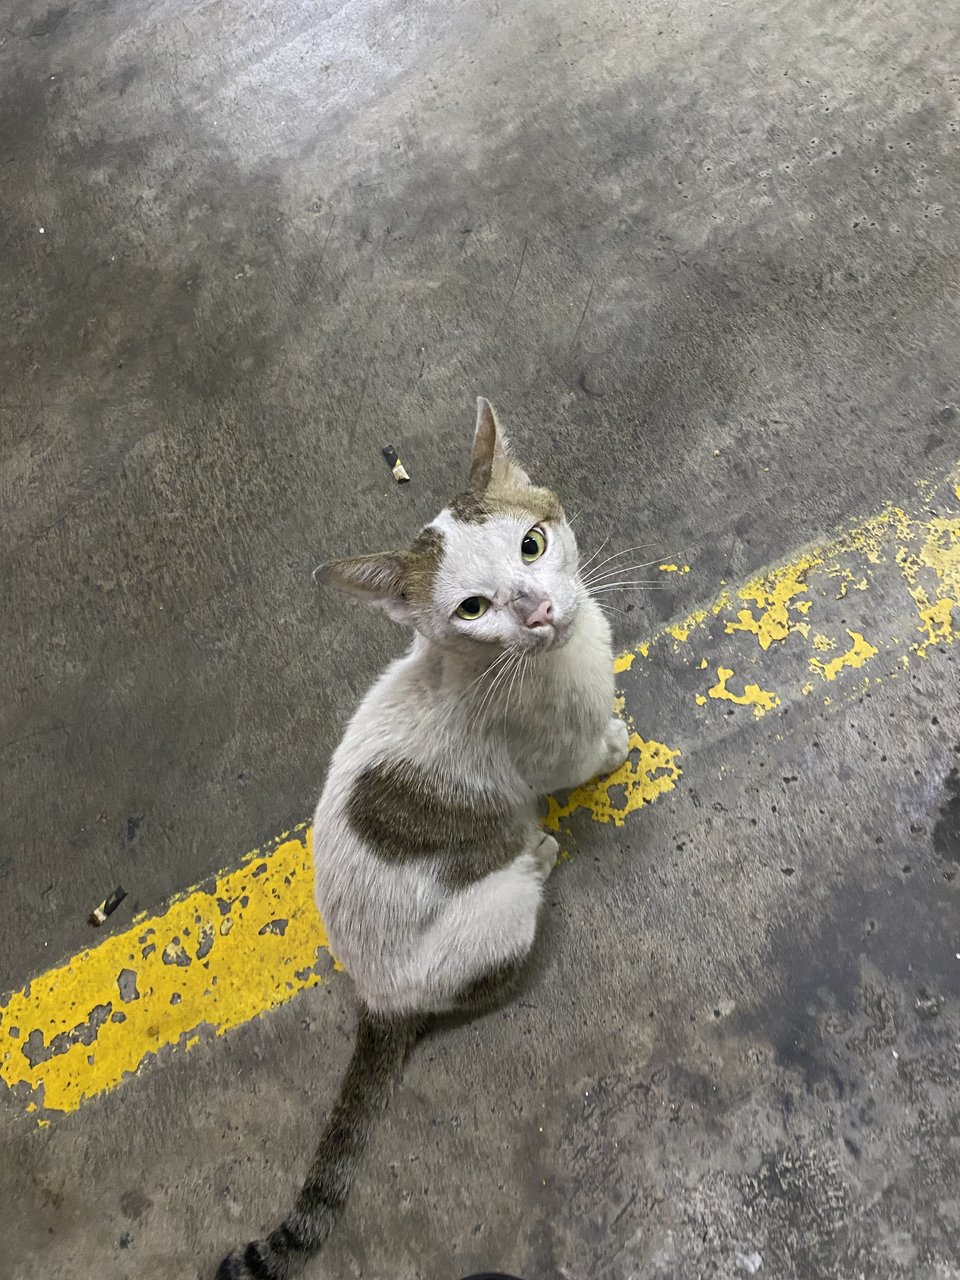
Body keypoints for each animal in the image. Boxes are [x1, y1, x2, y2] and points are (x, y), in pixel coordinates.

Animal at [216, 399, 632, 1280]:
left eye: (532, 545)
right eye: (472, 609)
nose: (541, 613)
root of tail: (374, 996)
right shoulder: (549, 754)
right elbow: (585, 755)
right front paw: (615, 744)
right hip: (494, 916)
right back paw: (538, 854)